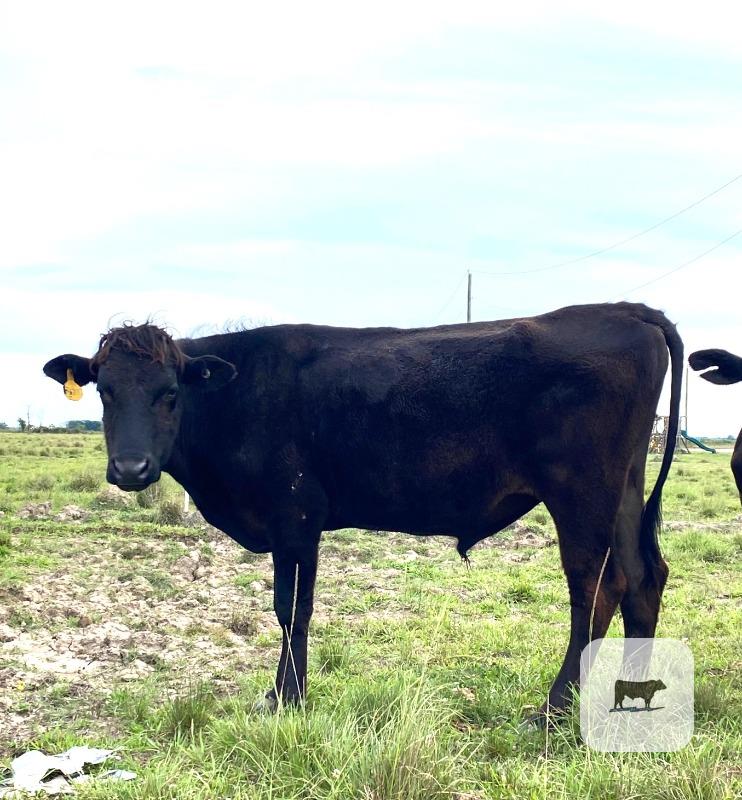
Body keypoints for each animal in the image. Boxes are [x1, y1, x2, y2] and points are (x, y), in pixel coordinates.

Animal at [43, 301, 682, 723]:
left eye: (170, 392)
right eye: (103, 390)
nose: (131, 468)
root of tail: (623, 310)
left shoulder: (296, 518)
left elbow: (291, 610)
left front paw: (288, 699)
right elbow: (288, 610)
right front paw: (282, 694)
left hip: (581, 493)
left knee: (597, 590)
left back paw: (553, 711)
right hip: (624, 489)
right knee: (642, 580)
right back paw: (631, 694)